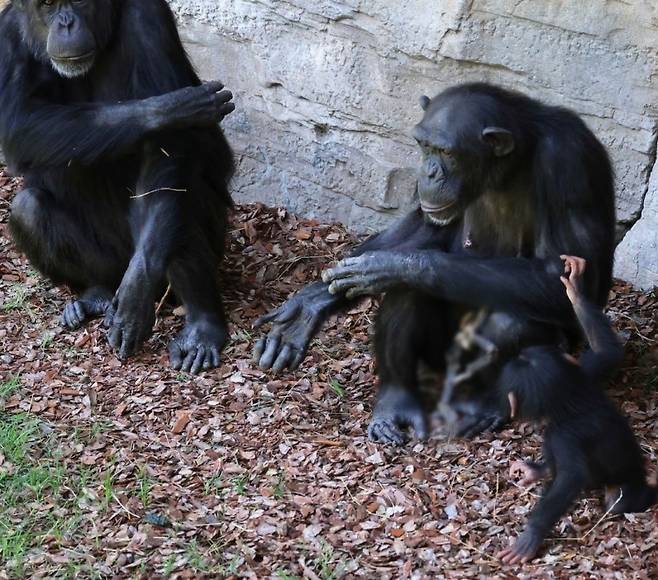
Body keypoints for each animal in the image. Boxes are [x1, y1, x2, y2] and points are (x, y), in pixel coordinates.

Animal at [0, 0, 236, 374]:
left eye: (81, 3)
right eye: (48, 5)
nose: (66, 23)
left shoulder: (149, 19)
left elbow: (168, 150)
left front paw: (137, 290)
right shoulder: (6, 39)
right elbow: (18, 123)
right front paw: (168, 109)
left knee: (179, 197)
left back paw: (201, 326)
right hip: (109, 262)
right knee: (28, 207)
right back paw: (95, 295)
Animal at [252, 81, 616, 444]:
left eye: (447, 153)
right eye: (424, 146)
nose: (427, 171)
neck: (510, 165)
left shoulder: (570, 162)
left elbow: (566, 277)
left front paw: (395, 266)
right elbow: (424, 225)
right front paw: (312, 301)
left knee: (510, 319)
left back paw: (486, 404)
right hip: (438, 355)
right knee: (407, 295)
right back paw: (396, 402)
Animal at [494, 256, 652, 564]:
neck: (568, 398)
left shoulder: (564, 435)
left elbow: (570, 477)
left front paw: (530, 536)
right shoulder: (585, 372)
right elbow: (607, 351)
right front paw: (575, 289)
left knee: (615, 501)